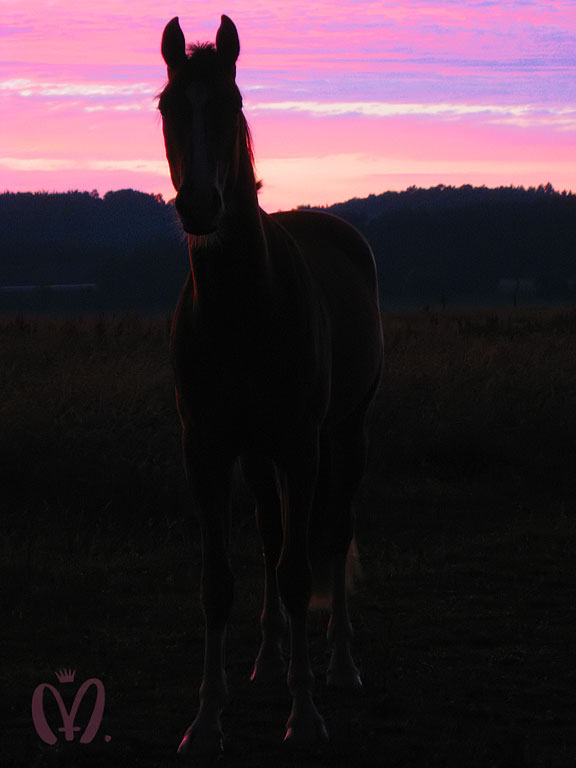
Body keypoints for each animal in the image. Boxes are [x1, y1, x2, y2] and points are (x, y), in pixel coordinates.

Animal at [159, 15, 382, 760]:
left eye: (230, 104)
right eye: (169, 107)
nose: (202, 205)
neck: (243, 309)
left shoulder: (302, 445)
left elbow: (296, 572)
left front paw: (305, 714)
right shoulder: (206, 451)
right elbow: (218, 582)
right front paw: (206, 718)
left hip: (344, 434)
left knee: (334, 533)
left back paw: (339, 665)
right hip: (259, 458)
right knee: (271, 532)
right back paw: (267, 658)